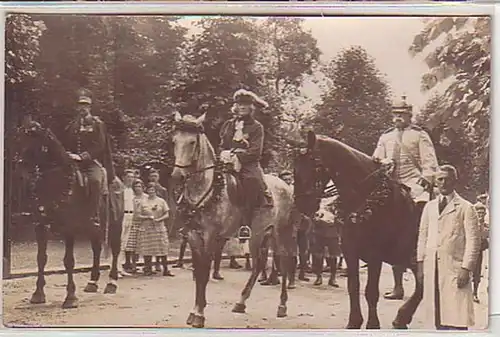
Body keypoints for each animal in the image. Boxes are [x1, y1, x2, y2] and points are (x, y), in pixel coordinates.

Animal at [16, 117, 123, 308]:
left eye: (34, 140)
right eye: (20, 139)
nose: (21, 171)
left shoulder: (69, 228)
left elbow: (69, 261)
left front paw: (71, 297)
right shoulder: (40, 226)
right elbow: (41, 258)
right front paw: (38, 294)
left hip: (115, 226)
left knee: (116, 251)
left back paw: (111, 283)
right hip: (94, 228)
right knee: (96, 249)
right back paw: (92, 282)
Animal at [298, 131, 424, 328]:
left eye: (315, 164)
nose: (301, 204)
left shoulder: (374, 256)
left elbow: (371, 291)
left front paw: (372, 324)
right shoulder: (350, 252)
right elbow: (353, 287)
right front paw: (354, 321)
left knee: (422, 285)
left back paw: (403, 315)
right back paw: (402, 315)